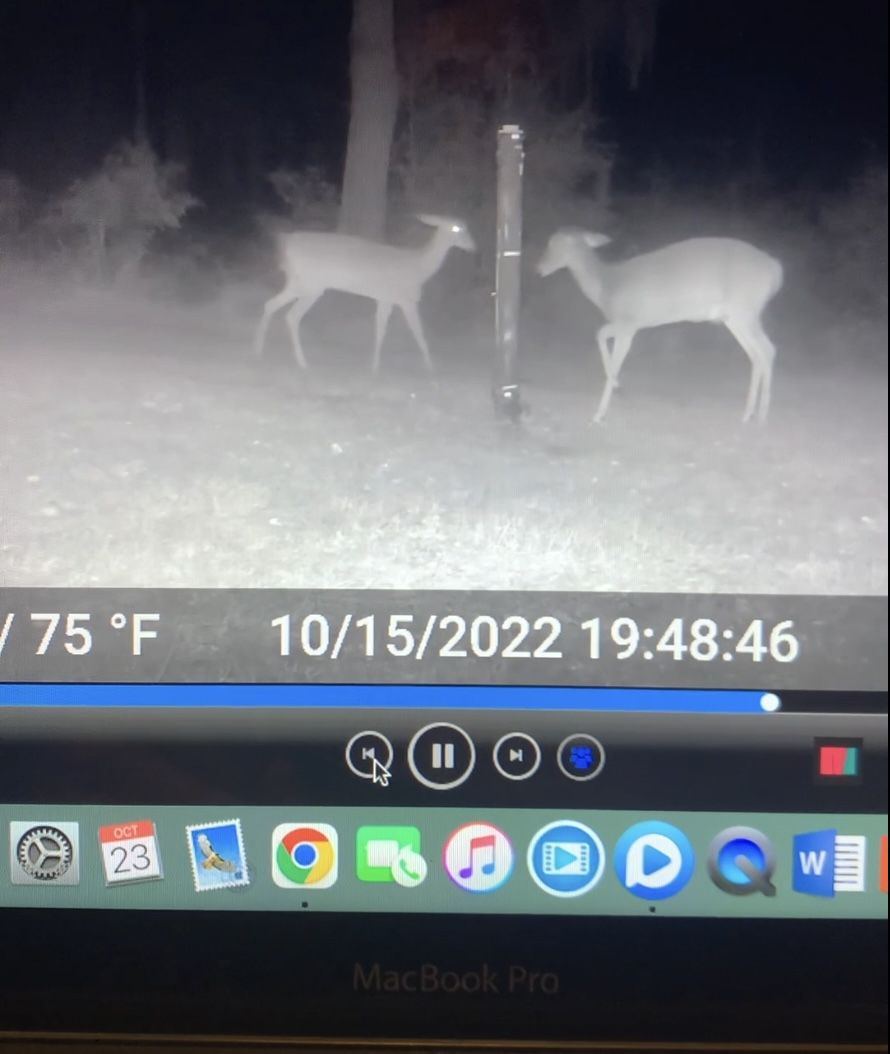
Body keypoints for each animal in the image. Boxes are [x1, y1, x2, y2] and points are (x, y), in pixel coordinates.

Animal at [252, 214, 476, 372]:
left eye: (466, 226)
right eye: (456, 228)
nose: (473, 246)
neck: (419, 269)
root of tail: (287, 243)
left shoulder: (385, 298)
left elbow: (380, 329)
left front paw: (373, 366)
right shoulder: (405, 299)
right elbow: (418, 332)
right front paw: (431, 368)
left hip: (298, 283)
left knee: (271, 305)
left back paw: (258, 351)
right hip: (311, 285)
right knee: (292, 316)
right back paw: (302, 362)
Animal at [536, 230, 784, 424]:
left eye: (556, 244)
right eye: (549, 243)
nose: (539, 268)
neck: (607, 285)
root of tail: (776, 271)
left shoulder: (628, 323)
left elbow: (613, 357)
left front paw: (599, 413)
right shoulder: (628, 323)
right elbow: (599, 334)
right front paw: (616, 385)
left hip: (745, 311)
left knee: (768, 349)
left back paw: (761, 416)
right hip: (735, 317)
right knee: (757, 354)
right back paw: (748, 413)